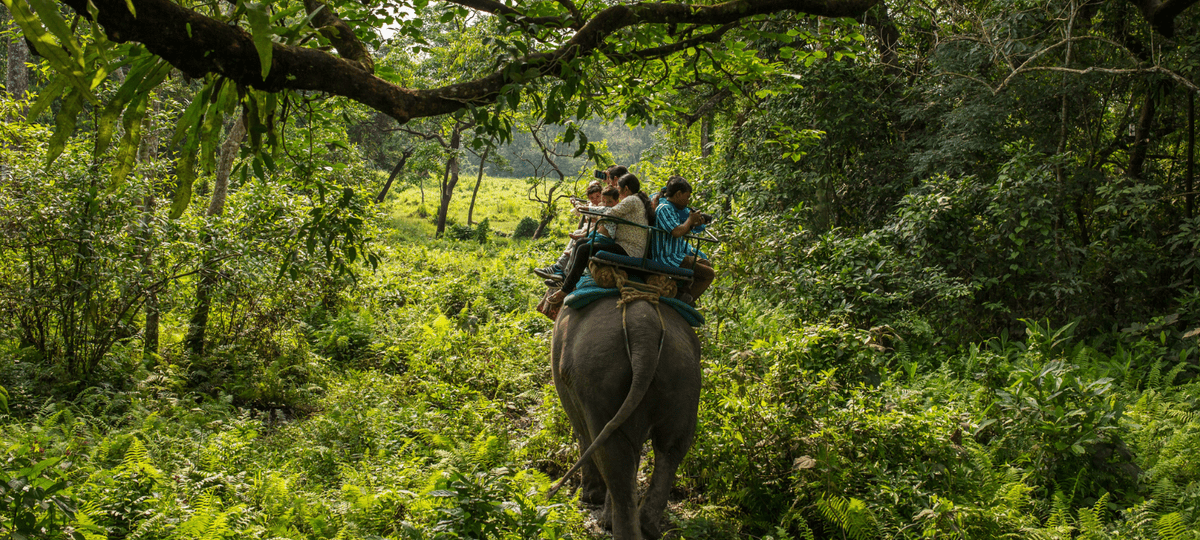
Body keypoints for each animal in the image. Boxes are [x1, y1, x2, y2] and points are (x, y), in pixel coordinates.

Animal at [547, 297, 700, 537]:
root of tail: (644, 329)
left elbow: (582, 433)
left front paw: (589, 498)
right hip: (684, 380)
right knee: (671, 449)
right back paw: (646, 526)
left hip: (599, 377)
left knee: (613, 454)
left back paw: (613, 525)